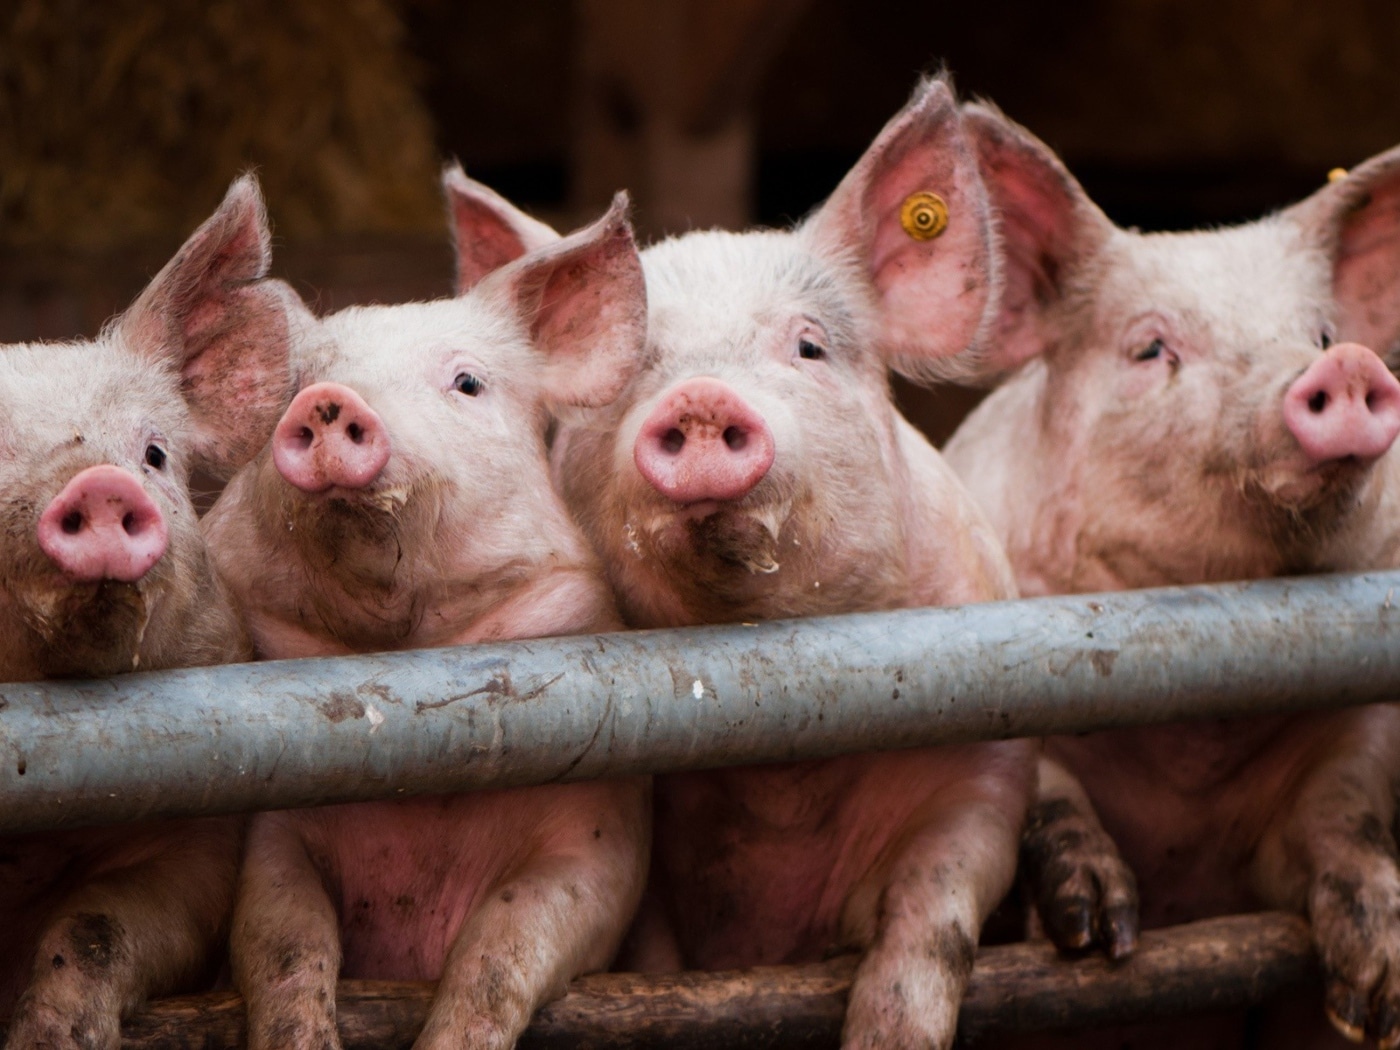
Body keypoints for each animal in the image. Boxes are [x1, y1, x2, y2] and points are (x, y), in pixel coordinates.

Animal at [201, 190, 652, 1050]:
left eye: (467, 382)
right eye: (297, 383)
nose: (329, 401)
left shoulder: (596, 841)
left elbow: (501, 950)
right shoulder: (272, 827)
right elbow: (284, 942)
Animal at [941, 104, 1400, 1048]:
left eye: (1322, 332)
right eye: (1151, 347)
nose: (1343, 368)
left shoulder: (1359, 715)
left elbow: (1346, 812)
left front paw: (1374, 1001)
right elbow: (1048, 790)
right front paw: (1097, 933)